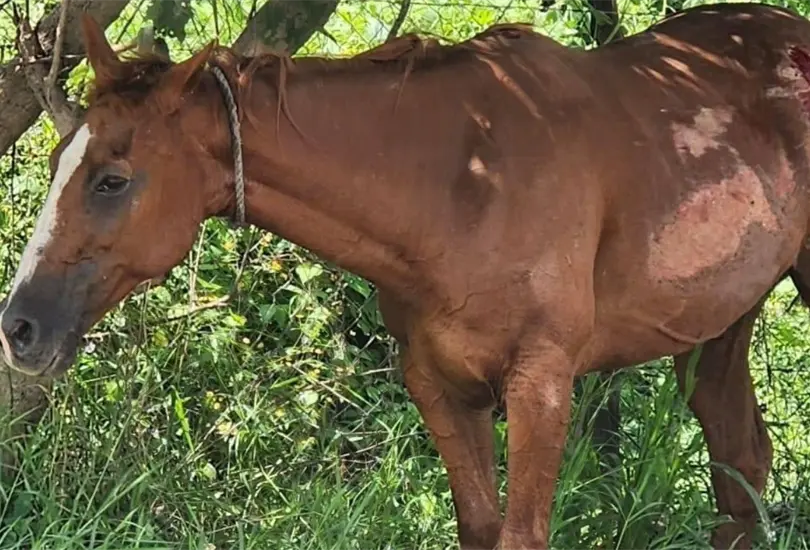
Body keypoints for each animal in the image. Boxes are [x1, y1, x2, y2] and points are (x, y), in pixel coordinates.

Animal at [3, 3, 810, 548]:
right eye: (59, 160)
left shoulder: (541, 384)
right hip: (717, 326)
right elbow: (480, 528)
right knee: (741, 468)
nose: (19, 328)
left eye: (112, 180)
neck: (462, 184)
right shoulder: (440, 386)